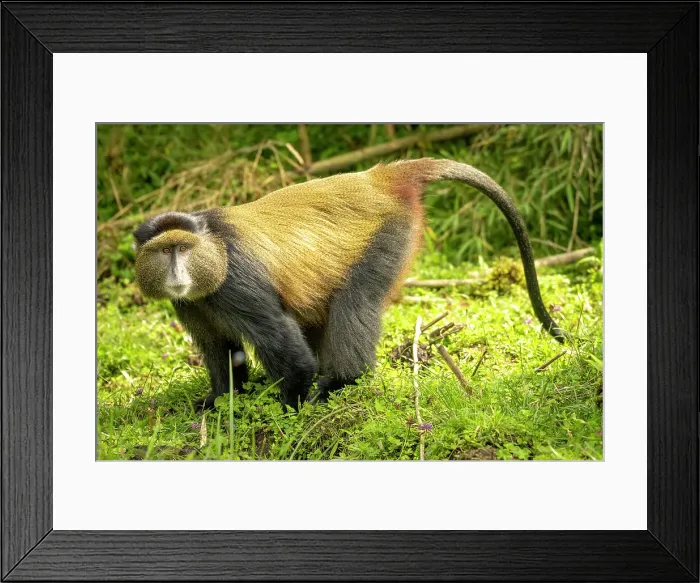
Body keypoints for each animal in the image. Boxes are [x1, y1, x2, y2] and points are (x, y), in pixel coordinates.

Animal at [133, 158, 568, 411]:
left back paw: (341, 382)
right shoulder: (190, 303)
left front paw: (290, 408)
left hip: (389, 235)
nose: (177, 274)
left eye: (182, 249)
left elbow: (287, 348)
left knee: (354, 302)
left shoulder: (236, 282)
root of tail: (376, 179)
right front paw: (221, 402)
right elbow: (221, 349)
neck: (213, 250)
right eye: (164, 251)